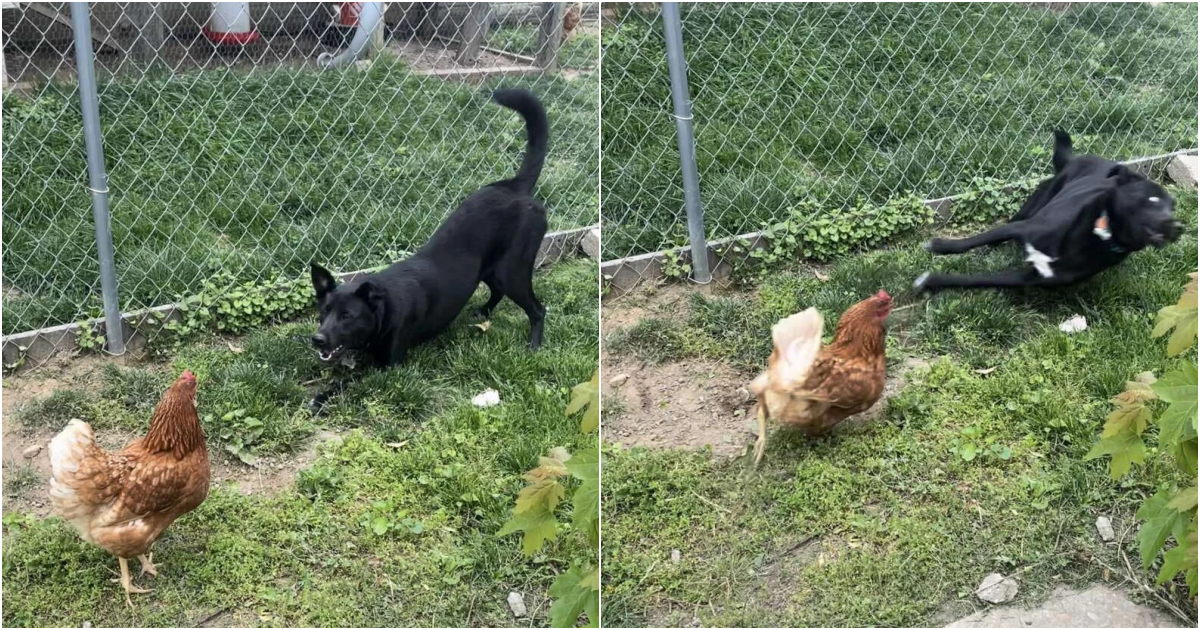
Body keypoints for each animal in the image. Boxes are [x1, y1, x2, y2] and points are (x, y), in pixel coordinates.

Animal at [309, 89, 552, 408]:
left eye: (347, 316)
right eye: (323, 312)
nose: (317, 339)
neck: (384, 309)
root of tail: (515, 187)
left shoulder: (389, 366)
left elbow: (350, 381)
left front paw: (322, 397)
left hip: (513, 271)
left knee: (538, 310)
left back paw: (534, 345)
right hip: (489, 268)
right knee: (497, 292)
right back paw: (483, 312)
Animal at [916, 131, 1180, 294]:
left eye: (1173, 206)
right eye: (1152, 200)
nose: (1178, 227)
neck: (1097, 235)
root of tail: (1076, 158)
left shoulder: (1030, 278)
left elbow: (977, 280)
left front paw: (932, 281)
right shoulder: (1021, 227)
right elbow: (971, 241)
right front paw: (939, 246)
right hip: (1034, 204)